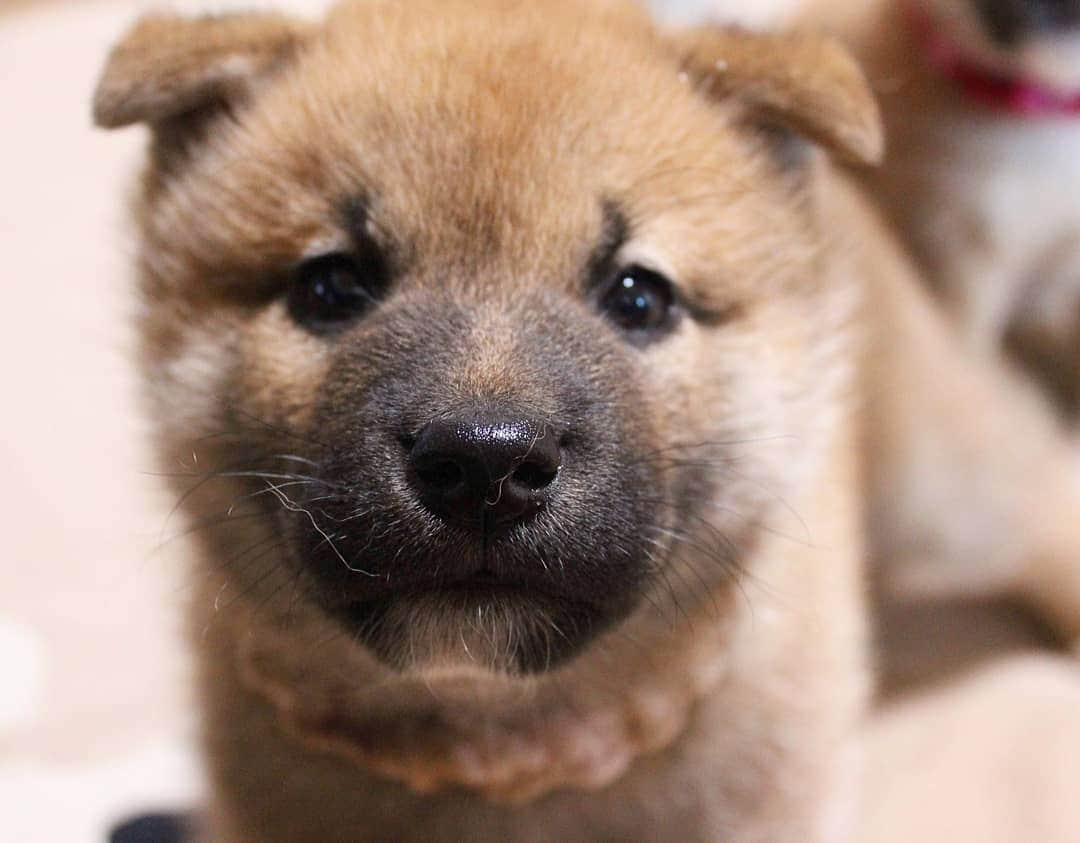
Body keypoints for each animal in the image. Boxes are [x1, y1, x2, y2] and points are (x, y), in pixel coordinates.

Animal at [95, 1, 1080, 841]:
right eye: (330, 286)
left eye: (639, 296)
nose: (484, 464)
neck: (501, 749)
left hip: (941, 497)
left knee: (1041, 491)